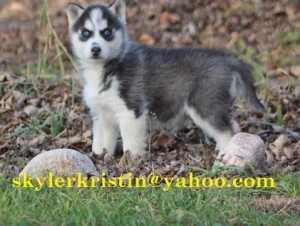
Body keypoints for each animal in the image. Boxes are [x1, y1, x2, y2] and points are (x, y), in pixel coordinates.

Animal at [67, 0, 264, 159]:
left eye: (106, 32)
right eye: (86, 33)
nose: (95, 49)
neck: (104, 69)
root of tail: (226, 58)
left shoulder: (132, 111)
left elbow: (131, 142)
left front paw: (130, 162)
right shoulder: (102, 115)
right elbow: (101, 143)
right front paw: (100, 158)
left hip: (205, 105)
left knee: (228, 131)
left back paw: (224, 157)